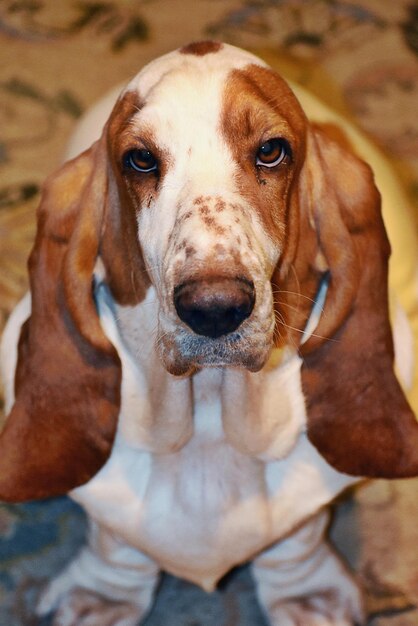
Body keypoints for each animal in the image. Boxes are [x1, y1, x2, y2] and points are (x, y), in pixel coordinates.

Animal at [0, 40, 418, 624]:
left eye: (272, 151)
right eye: (140, 159)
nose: (215, 308)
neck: (210, 421)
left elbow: (297, 539)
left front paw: (306, 597)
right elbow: (117, 544)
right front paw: (102, 597)